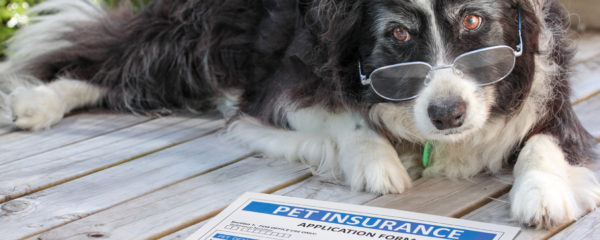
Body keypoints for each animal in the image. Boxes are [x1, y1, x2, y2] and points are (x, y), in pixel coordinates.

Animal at [0, 0, 596, 229]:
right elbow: (342, 114)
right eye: (399, 34)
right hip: (195, 38)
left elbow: (544, 142)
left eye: (473, 21)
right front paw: (376, 162)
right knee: (119, 59)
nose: (447, 114)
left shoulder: (552, 101)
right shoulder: (280, 86)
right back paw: (38, 102)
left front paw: (543, 193)